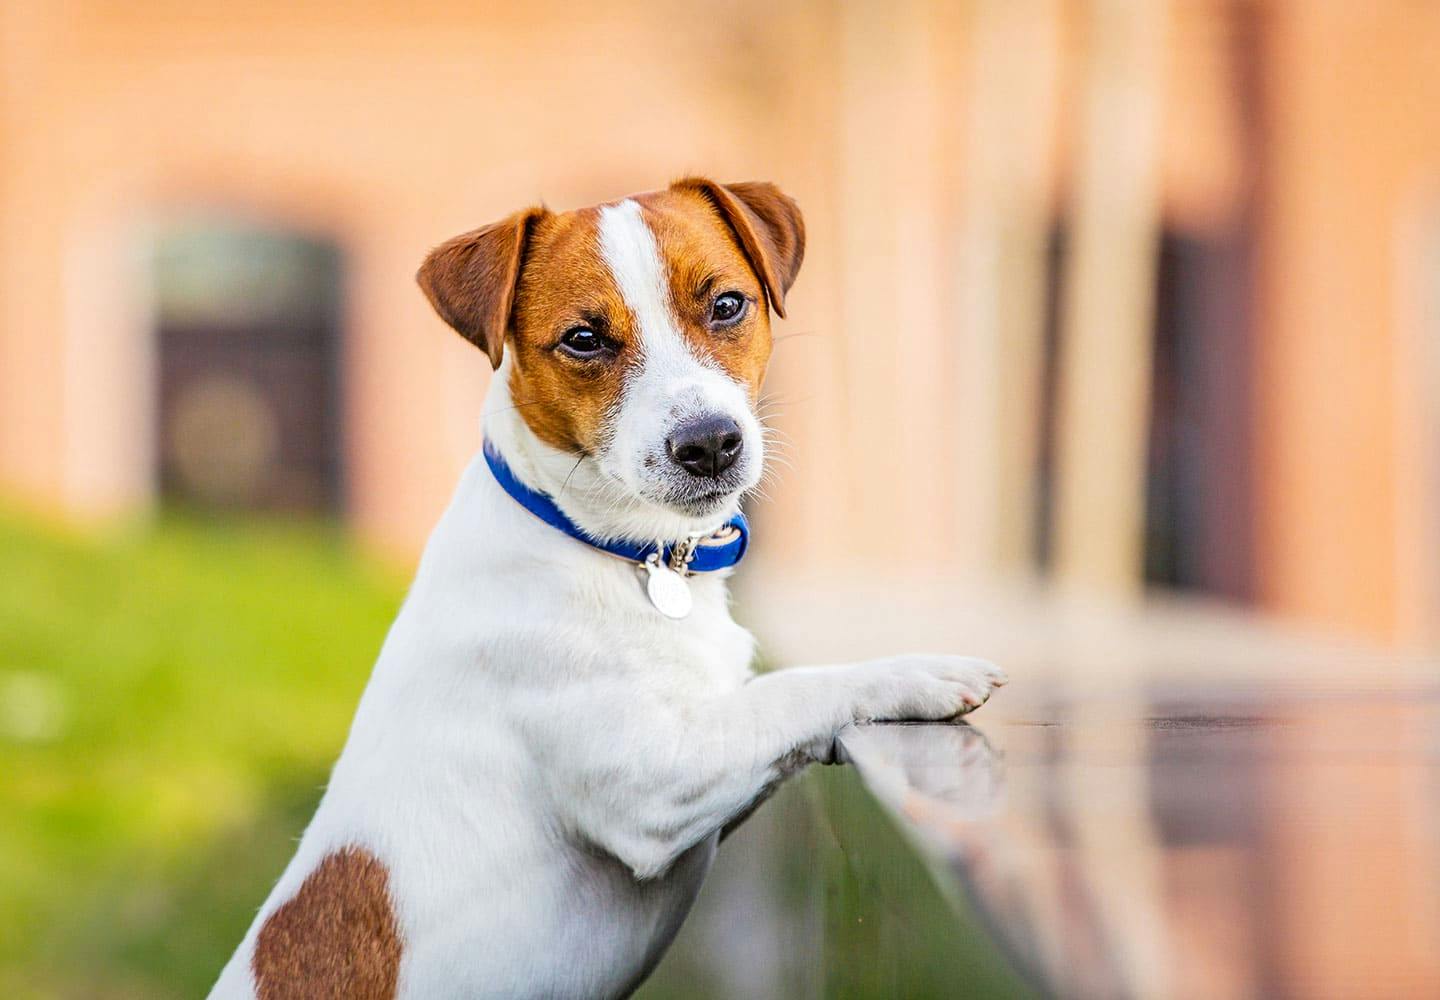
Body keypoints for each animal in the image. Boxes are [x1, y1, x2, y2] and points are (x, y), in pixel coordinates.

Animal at [210, 180, 1002, 1000]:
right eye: (585, 339)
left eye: (727, 305)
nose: (709, 444)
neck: (610, 547)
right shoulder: (653, 781)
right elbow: (793, 690)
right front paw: (915, 672)